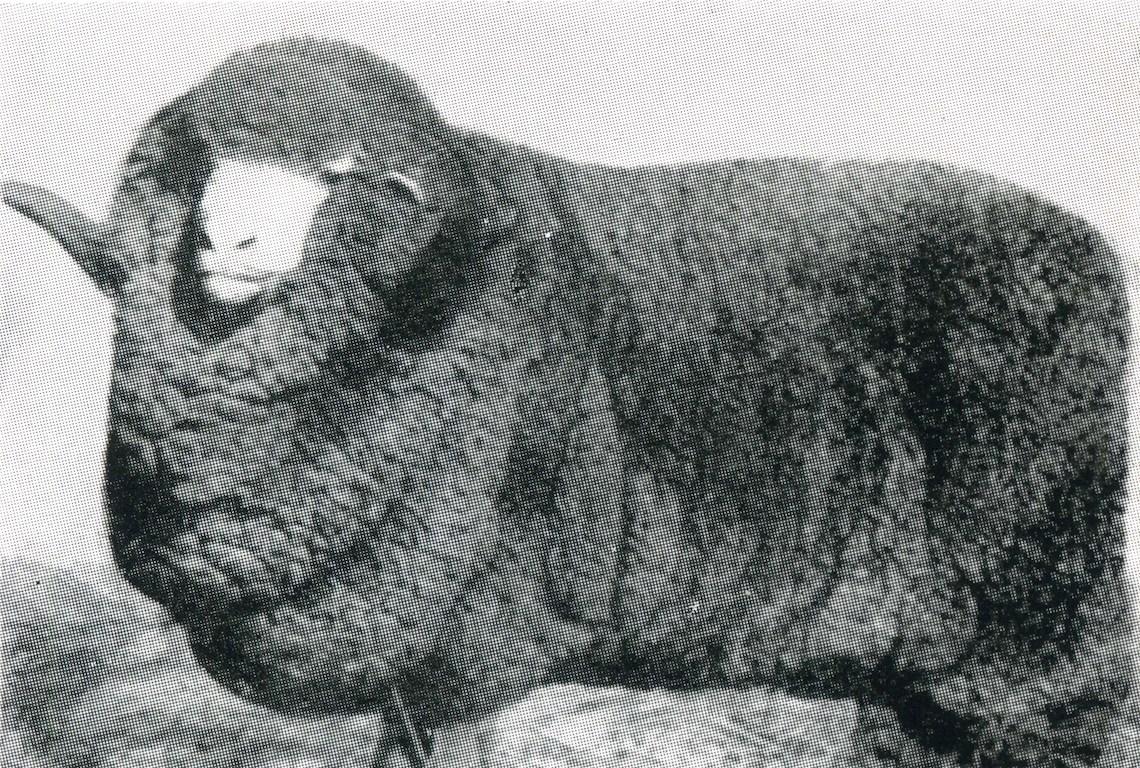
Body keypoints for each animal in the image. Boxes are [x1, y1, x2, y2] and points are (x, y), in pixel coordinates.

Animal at [2, 38, 1130, 765]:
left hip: (1038, 617)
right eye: (209, 162)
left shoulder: (465, 643)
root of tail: (1093, 249)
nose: (220, 243)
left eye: (334, 174)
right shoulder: (416, 660)